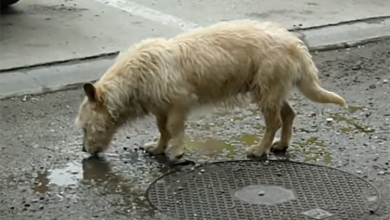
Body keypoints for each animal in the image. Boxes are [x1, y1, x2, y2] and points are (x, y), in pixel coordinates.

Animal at [75, 19, 348, 161]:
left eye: (86, 127)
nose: (83, 150)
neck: (136, 74)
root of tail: (295, 44)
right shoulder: (160, 107)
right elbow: (162, 129)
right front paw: (159, 147)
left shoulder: (179, 103)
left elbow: (173, 127)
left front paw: (177, 151)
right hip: (272, 89)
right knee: (288, 114)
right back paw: (281, 144)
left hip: (267, 89)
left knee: (274, 121)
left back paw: (261, 148)